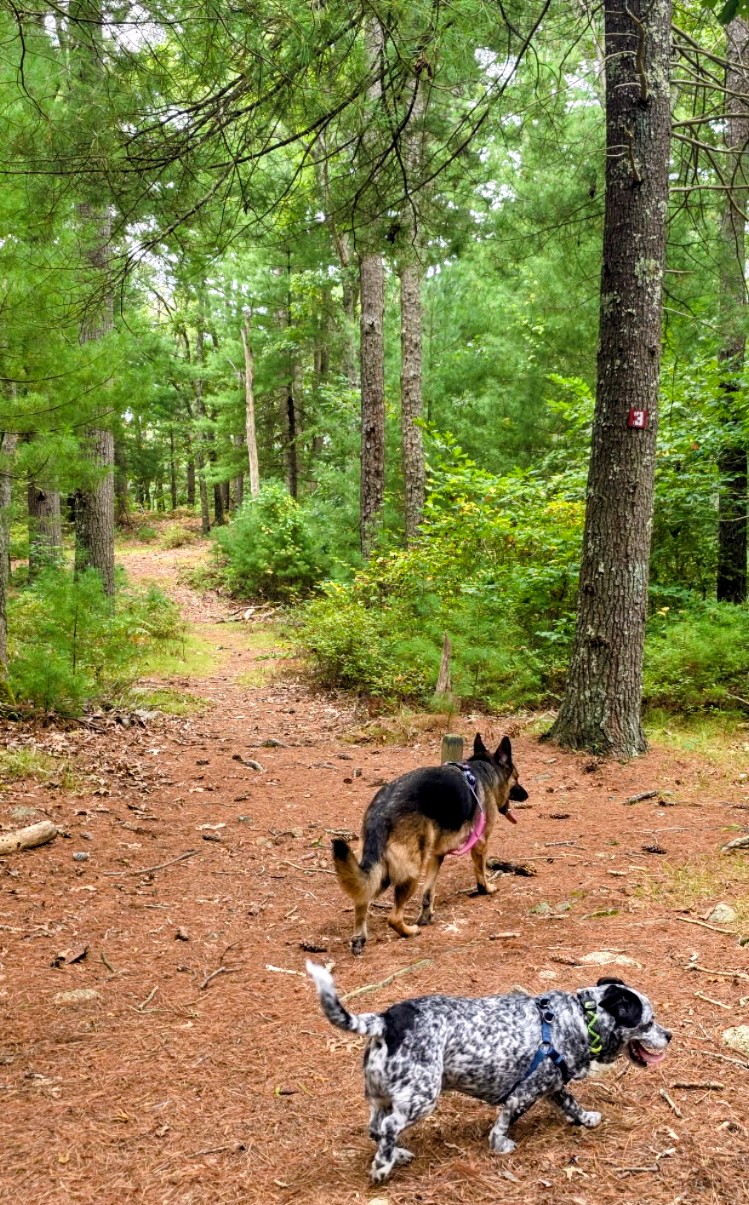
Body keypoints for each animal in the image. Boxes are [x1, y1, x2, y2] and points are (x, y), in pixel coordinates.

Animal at [307, 963, 671, 1183]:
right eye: (648, 1022)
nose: (669, 1035)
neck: (581, 1020)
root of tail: (387, 1020)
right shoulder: (522, 1095)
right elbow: (503, 1125)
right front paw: (500, 1145)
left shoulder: (553, 1085)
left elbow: (572, 1105)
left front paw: (586, 1119)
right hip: (421, 1098)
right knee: (388, 1128)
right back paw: (383, 1167)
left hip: (381, 1098)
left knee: (377, 1129)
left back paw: (396, 1154)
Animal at [332, 734, 528, 954]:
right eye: (517, 778)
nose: (526, 794)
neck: (483, 770)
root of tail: (381, 812)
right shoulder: (480, 843)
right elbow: (481, 872)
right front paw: (486, 889)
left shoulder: (436, 855)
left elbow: (428, 892)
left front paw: (426, 916)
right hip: (411, 873)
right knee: (393, 917)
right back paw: (409, 931)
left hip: (381, 872)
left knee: (362, 900)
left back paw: (359, 937)